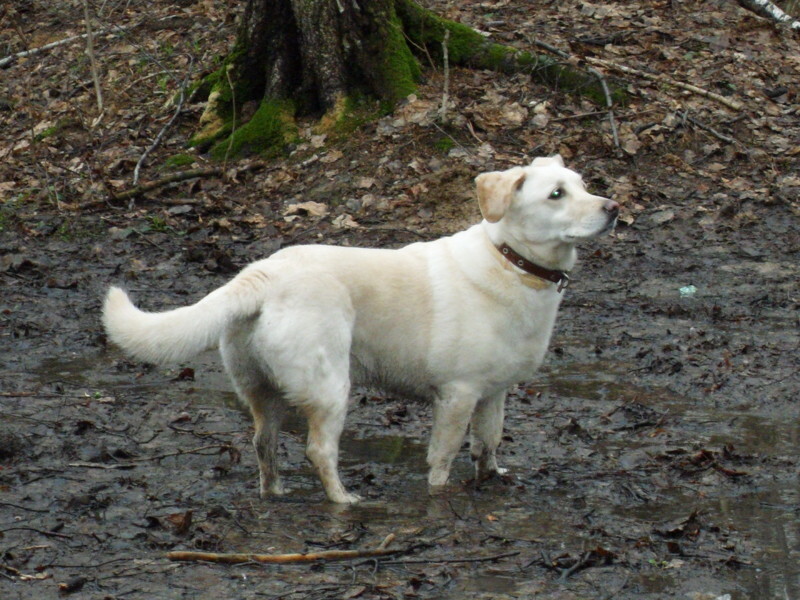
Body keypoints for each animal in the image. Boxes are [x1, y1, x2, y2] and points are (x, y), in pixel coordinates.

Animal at [103, 157, 620, 504]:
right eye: (556, 194)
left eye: (583, 185)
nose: (614, 207)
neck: (512, 261)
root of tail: (260, 275)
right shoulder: (457, 395)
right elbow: (443, 458)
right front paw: (441, 495)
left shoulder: (493, 393)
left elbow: (488, 443)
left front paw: (493, 478)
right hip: (331, 387)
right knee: (318, 450)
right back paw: (344, 500)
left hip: (261, 390)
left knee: (263, 444)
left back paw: (276, 492)